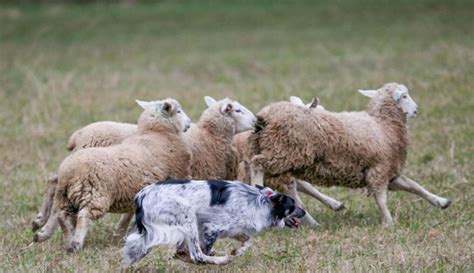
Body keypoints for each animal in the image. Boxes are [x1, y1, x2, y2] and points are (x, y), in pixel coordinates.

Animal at [32, 97, 193, 251]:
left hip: (66, 196)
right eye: (178, 111)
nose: (189, 124)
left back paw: (52, 235)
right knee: (82, 215)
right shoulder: (177, 177)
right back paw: (74, 243)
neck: (156, 133)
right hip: (94, 193)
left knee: (60, 210)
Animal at [122, 178, 306, 266]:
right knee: (197, 256)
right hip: (188, 217)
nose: (304, 212)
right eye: (292, 206)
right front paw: (223, 256)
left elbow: (248, 241)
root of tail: (142, 195)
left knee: (180, 253)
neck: (260, 200)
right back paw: (222, 261)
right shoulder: (212, 228)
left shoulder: (233, 229)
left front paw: (238, 251)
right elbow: (204, 251)